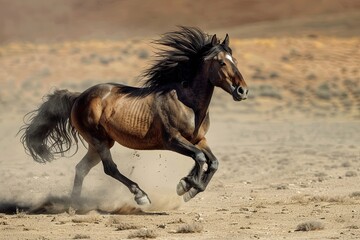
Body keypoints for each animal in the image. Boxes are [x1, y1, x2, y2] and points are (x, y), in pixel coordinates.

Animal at [19, 26, 249, 206]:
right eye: (221, 62)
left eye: (235, 60)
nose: (242, 91)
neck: (186, 102)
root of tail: (79, 97)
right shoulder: (173, 140)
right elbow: (200, 158)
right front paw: (185, 185)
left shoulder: (199, 139)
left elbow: (213, 161)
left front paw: (191, 187)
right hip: (99, 141)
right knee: (109, 168)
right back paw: (141, 196)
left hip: (100, 143)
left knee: (82, 168)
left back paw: (74, 206)